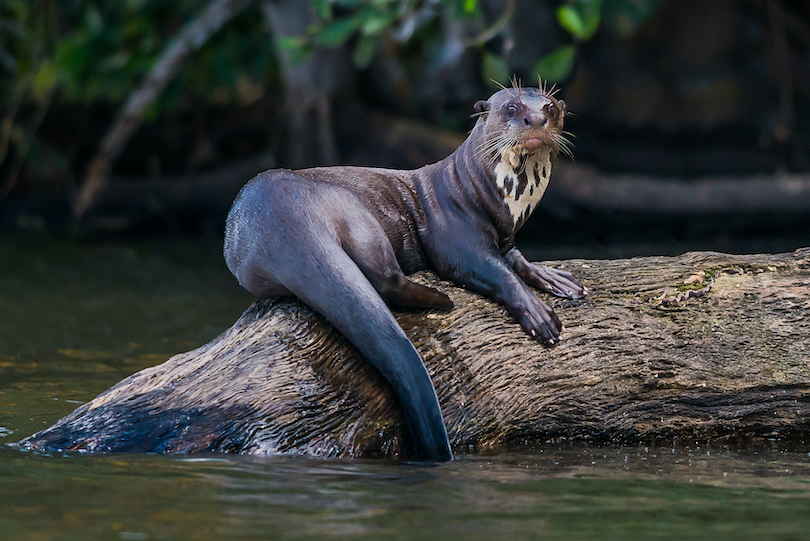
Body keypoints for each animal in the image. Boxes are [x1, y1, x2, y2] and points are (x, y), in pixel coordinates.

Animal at [224, 83, 584, 460]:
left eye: (550, 107)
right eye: (512, 108)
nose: (536, 119)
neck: (486, 194)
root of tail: (280, 218)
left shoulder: (506, 237)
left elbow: (517, 260)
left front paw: (556, 279)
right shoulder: (455, 236)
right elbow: (494, 271)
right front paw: (538, 314)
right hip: (353, 211)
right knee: (386, 281)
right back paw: (441, 299)